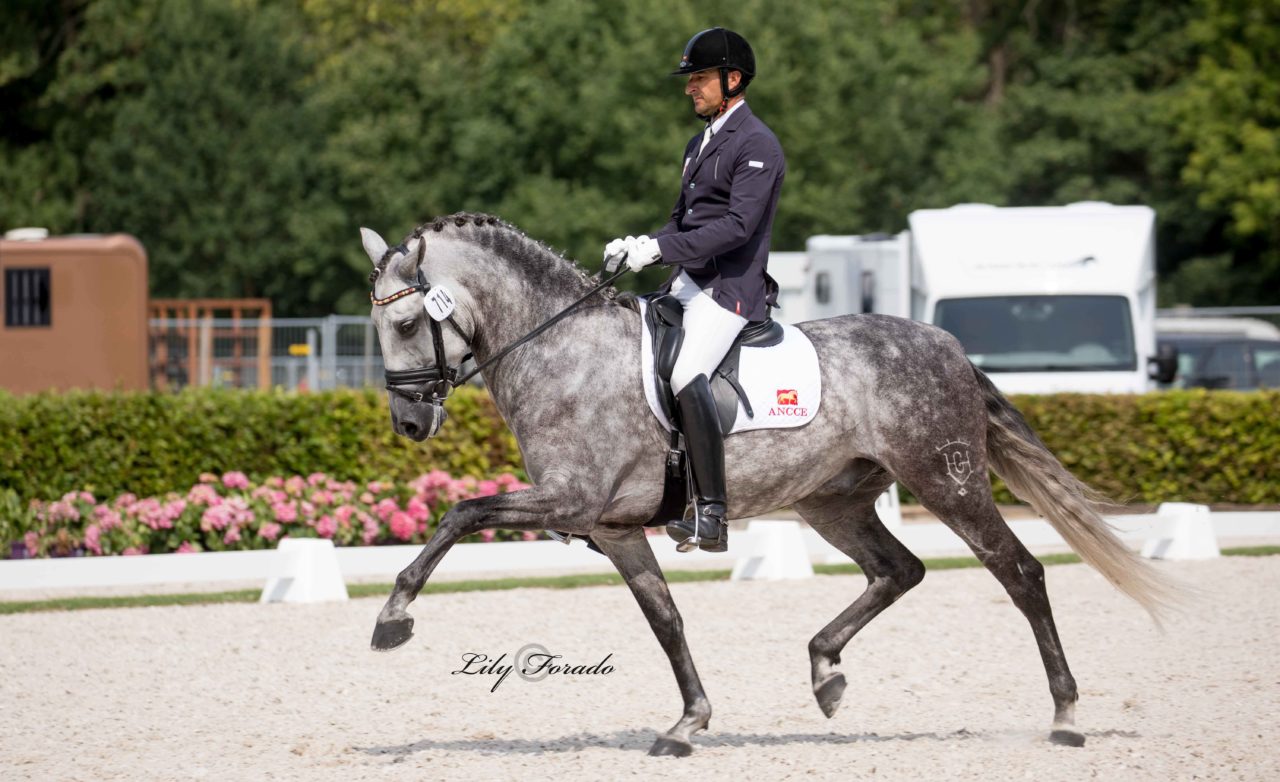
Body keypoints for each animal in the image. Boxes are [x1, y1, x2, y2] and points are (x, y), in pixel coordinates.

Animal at [355, 211, 1172, 757]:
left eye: (406, 326)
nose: (409, 423)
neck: (561, 352)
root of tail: (946, 345)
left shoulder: (572, 502)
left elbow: (460, 513)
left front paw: (393, 617)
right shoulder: (612, 530)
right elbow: (666, 620)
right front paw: (688, 723)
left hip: (947, 479)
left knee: (1019, 571)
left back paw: (1065, 717)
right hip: (832, 500)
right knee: (899, 569)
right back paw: (825, 671)